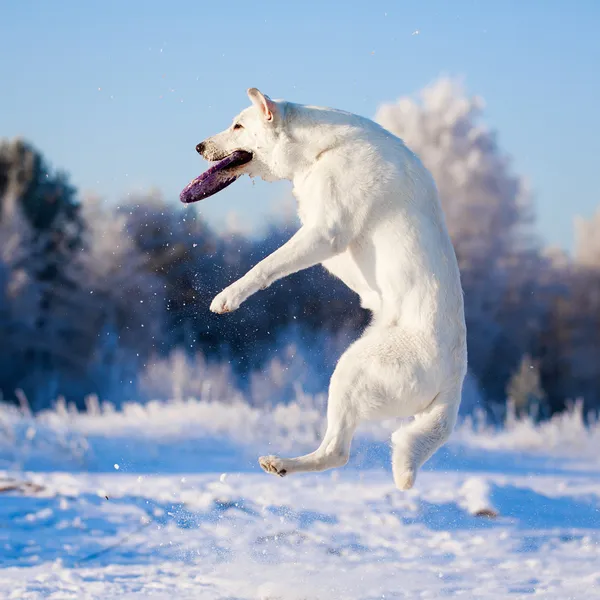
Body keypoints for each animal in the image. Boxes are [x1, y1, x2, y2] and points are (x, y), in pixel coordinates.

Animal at [197, 90, 468, 492]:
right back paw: (283, 465)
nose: (198, 146)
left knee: (337, 452)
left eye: (238, 126)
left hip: (350, 370)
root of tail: (454, 382)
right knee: (335, 450)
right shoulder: (324, 238)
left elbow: (266, 266)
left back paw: (283, 463)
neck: (321, 148)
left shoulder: (325, 233)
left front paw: (228, 297)